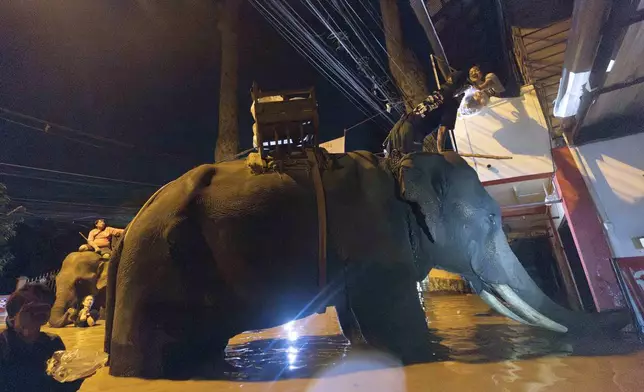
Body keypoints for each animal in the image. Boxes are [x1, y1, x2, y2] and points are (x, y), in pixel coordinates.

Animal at [104, 150, 628, 376]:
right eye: (491, 219)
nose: (623, 321)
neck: (402, 167)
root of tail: (124, 233)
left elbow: (358, 318)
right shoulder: (378, 240)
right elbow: (393, 319)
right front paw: (428, 358)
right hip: (151, 273)